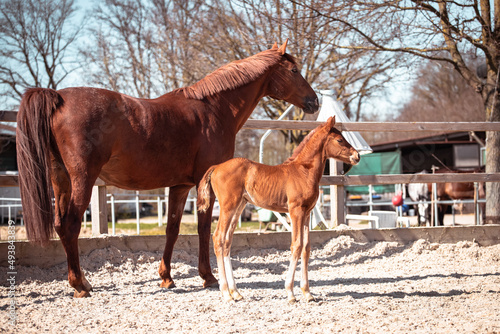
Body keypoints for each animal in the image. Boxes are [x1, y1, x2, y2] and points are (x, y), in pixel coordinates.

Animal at [17, 41, 318, 298]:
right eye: (294, 70)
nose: (314, 101)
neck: (214, 109)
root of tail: (58, 97)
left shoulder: (180, 185)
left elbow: (172, 228)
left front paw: (166, 277)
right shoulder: (202, 183)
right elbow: (203, 227)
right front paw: (208, 277)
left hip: (61, 180)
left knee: (59, 224)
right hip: (83, 179)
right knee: (71, 225)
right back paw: (80, 284)